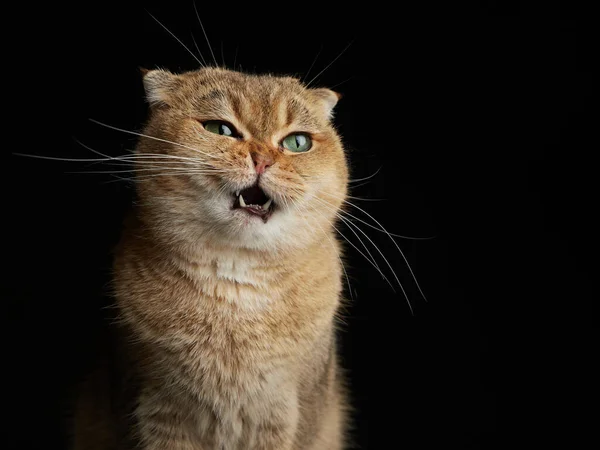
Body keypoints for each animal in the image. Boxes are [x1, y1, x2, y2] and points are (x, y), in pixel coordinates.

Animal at [71, 67, 352, 450]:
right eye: (220, 129)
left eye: (297, 143)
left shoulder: (288, 418)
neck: (236, 284)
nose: (262, 159)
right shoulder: (154, 411)